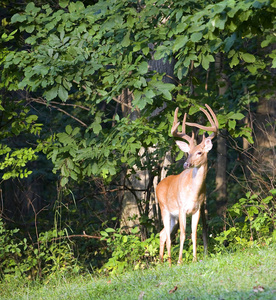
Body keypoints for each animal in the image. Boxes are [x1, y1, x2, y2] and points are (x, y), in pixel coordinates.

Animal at [157, 105, 218, 264]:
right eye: (188, 152)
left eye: (199, 152)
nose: (186, 164)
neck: (194, 192)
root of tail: (158, 185)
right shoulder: (182, 208)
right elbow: (183, 234)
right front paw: (180, 261)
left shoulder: (197, 209)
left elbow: (195, 234)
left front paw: (195, 259)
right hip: (164, 209)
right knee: (168, 237)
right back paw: (170, 263)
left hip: (172, 217)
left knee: (162, 234)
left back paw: (162, 262)